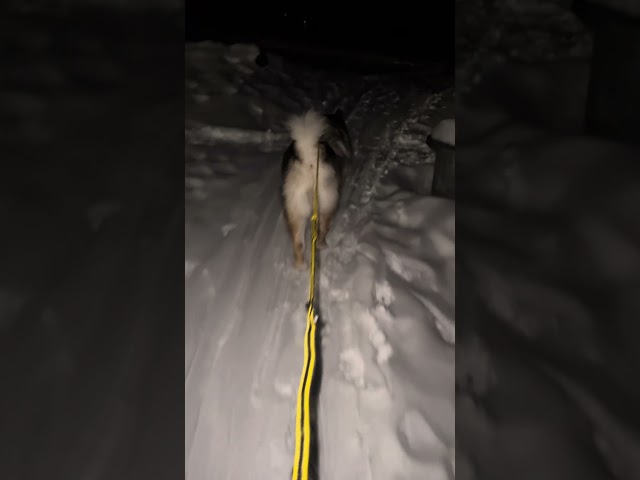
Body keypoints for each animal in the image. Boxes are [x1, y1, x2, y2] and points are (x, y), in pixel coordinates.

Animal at [282, 107, 352, 270]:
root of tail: (309, 157)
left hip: (295, 210)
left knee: (299, 244)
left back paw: (300, 266)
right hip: (327, 204)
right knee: (322, 230)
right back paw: (322, 245)